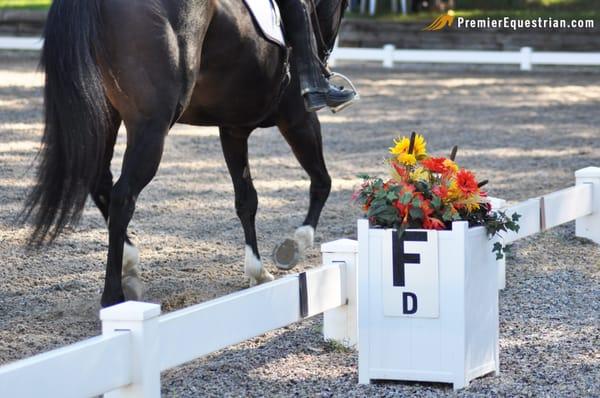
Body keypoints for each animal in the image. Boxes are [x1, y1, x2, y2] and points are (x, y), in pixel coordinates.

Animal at [23, 0, 350, 308]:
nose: (325, 59)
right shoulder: (298, 119)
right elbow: (322, 181)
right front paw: (294, 245)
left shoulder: (233, 129)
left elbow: (247, 200)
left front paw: (257, 271)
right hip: (152, 126)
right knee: (123, 197)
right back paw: (114, 296)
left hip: (106, 116)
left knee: (100, 183)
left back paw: (130, 265)